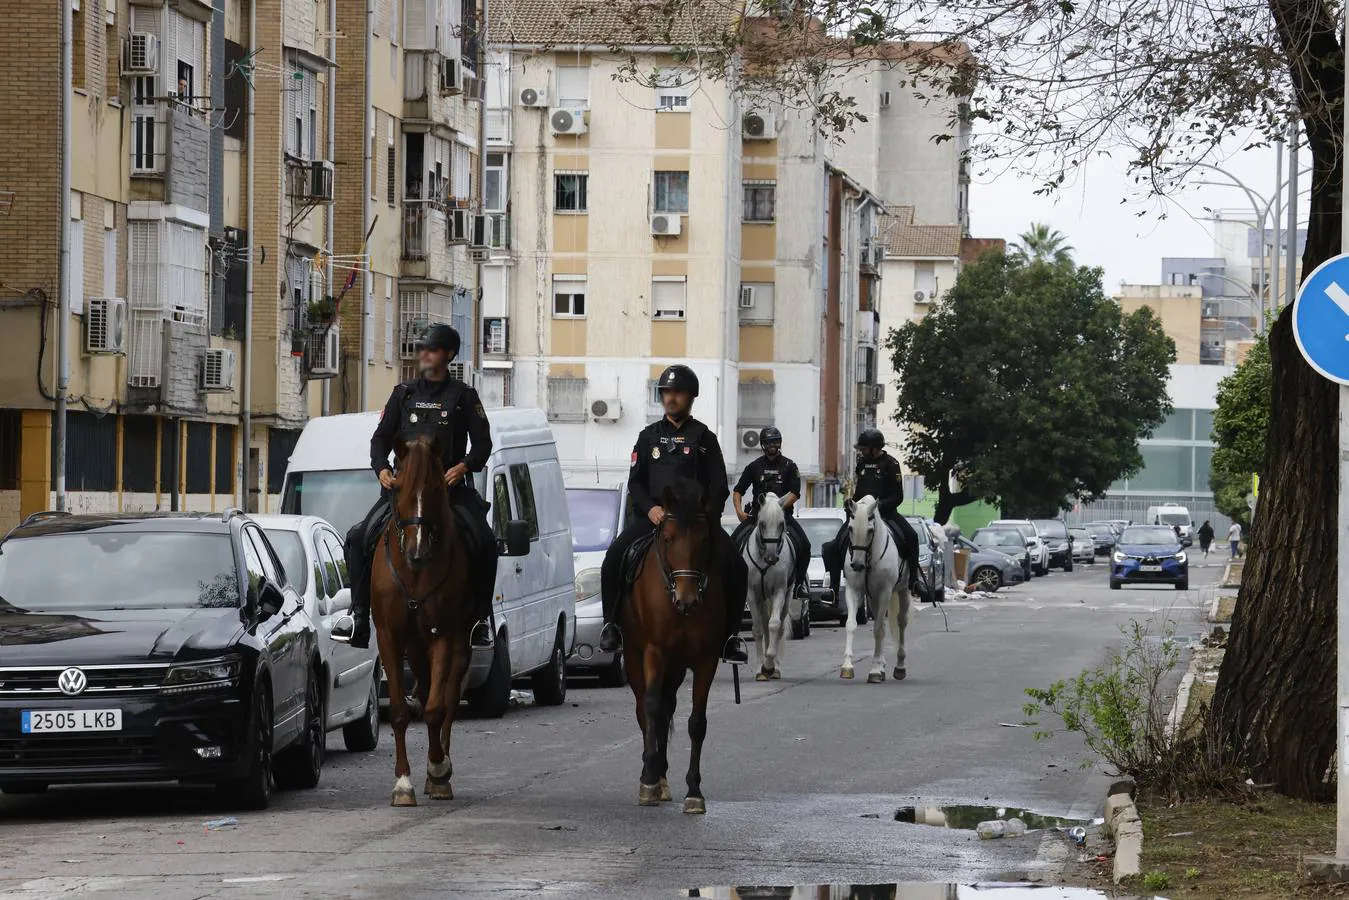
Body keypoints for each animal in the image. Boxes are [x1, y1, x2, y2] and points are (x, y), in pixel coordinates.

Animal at [372, 431, 477, 804]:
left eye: (434, 488)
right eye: (398, 486)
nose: (416, 553)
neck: (415, 572)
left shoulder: (442, 633)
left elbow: (435, 708)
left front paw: (437, 769)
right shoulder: (388, 635)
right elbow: (400, 711)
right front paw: (403, 782)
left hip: (457, 642)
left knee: (448, 697)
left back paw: (441, 766)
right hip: (414, 646)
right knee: (426, 684)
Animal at [623, 477, 728, 814]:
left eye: (705, 540)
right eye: (668, 538)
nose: (686, 600)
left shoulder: (706, 658)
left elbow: (696, 722)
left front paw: (694, 790)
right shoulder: (653, 651)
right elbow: (651, 708)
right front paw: (648, 780)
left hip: (677, 666)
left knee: (668, 707)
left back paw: (663, 776)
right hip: (635, 656)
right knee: (647, 709)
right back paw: (654, 775)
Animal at [744, 496, 793, 680]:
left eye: (781, 523)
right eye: (762, 523)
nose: (771, 557)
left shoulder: (779, 591)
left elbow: (774, 625)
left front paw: (770, 663)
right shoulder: (751, 593)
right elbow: (758, 628)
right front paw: (761, 666)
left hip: (786, 595)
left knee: (779, 626)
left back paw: (775, 667)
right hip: (761, 598)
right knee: (763, 624)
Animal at [836, 493, 911, 682]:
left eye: (870, 530)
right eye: (850, 528)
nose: (857, 565)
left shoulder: (885, 592)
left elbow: (878, 629)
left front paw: (875, 670)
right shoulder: (853, 590)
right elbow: (851, 624)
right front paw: (847, 666)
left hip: (903, 589)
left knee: (901, 621)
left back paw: (899, 666)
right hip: (872, 597)